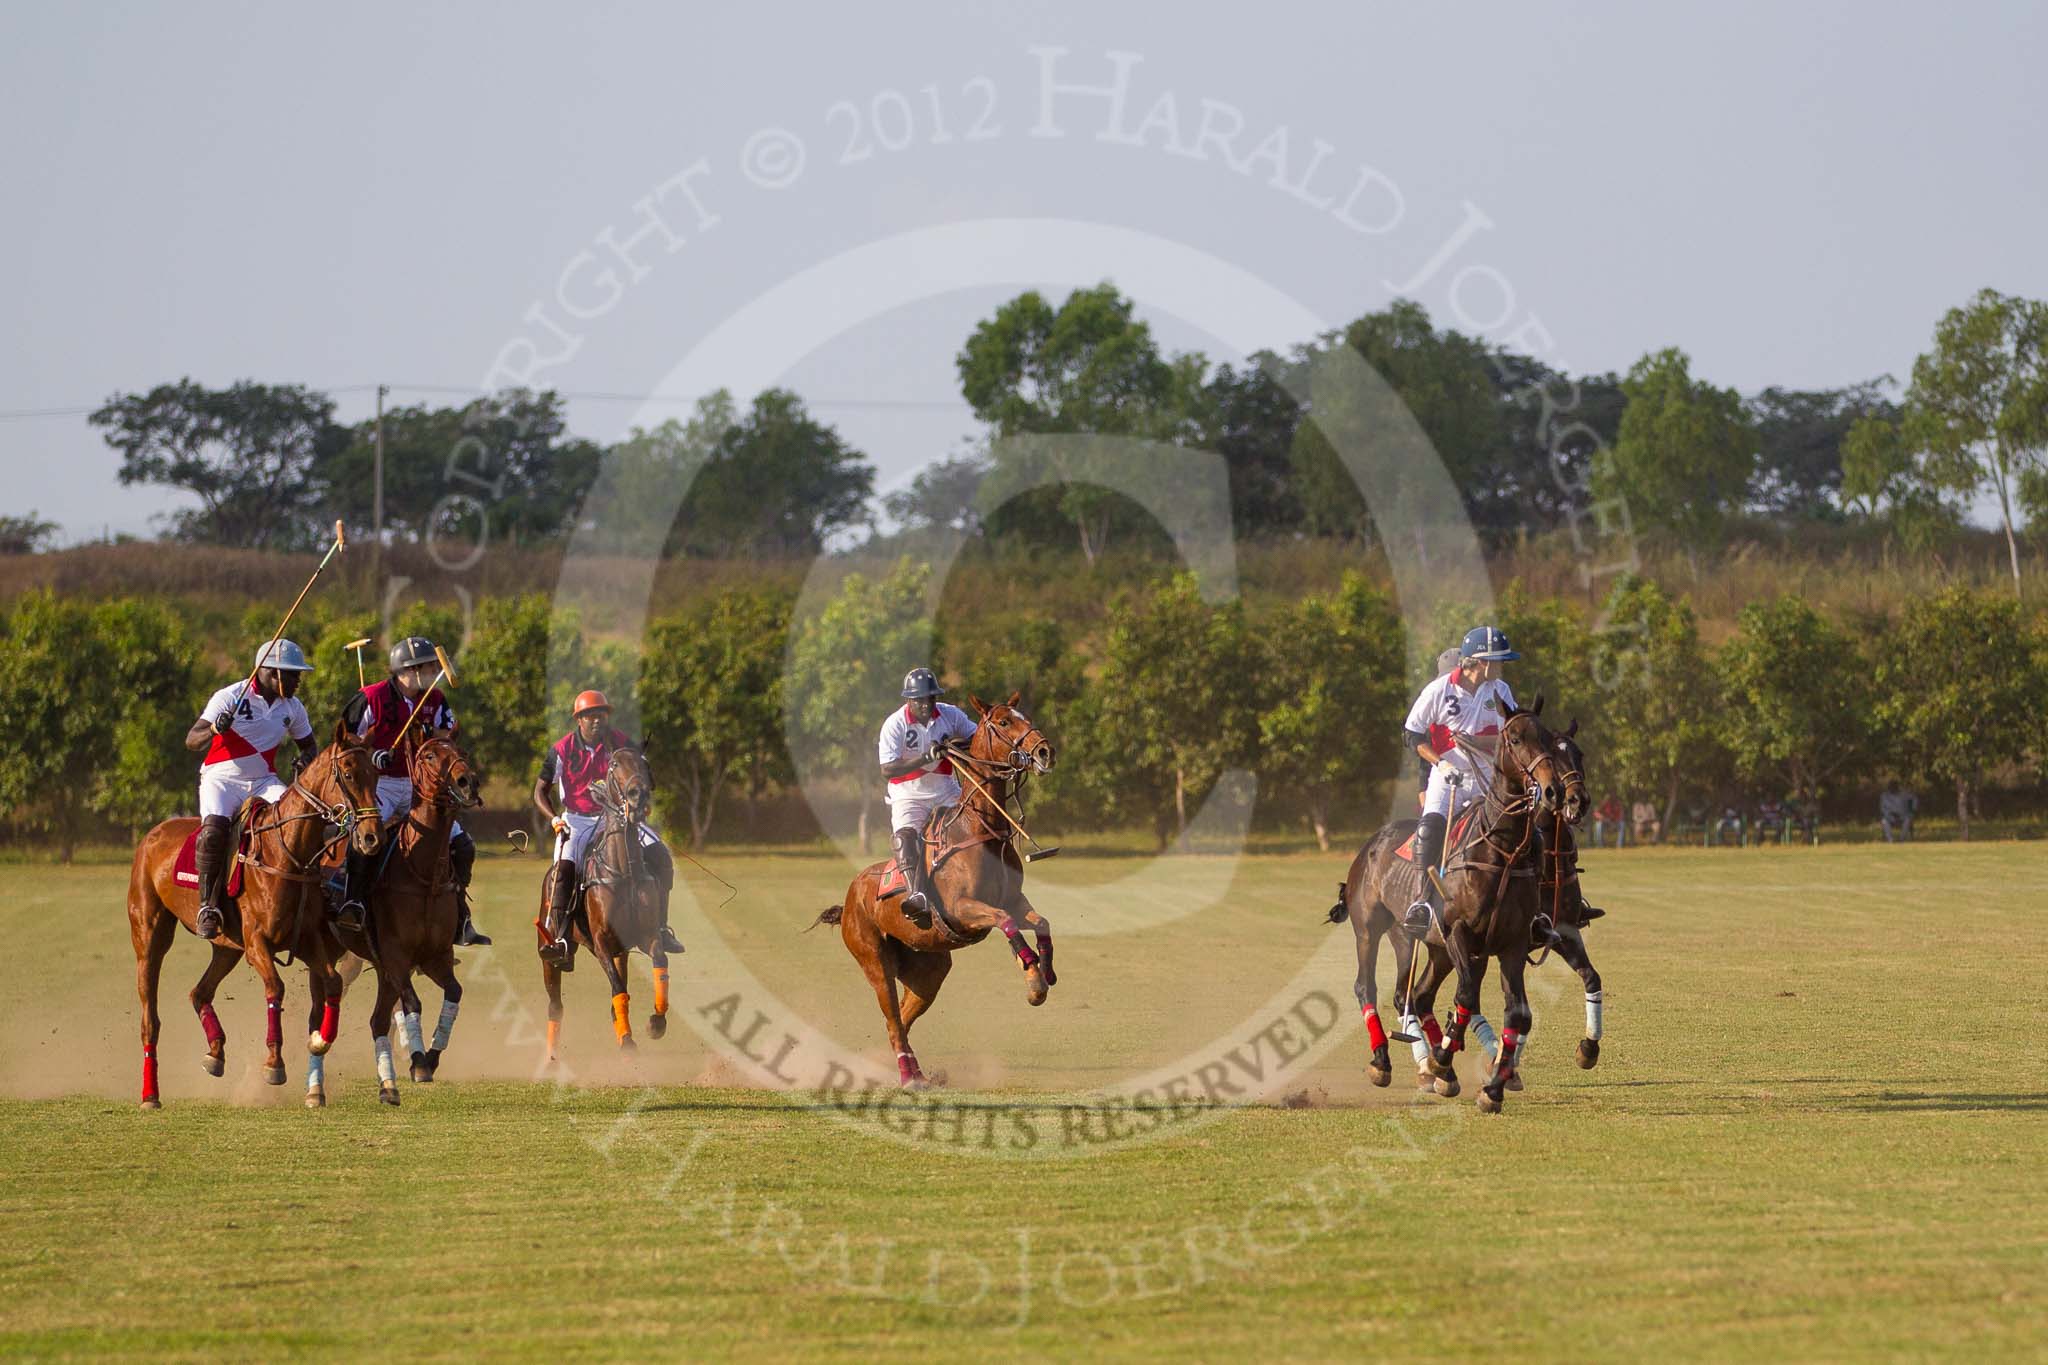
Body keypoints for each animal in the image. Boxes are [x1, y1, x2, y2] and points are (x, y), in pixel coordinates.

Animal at [126, 716, 385, 1113]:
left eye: (375, 772)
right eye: (348, 773)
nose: (372, 837)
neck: (288, 853)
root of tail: (153, 833)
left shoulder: (306, 940)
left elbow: (332, 983)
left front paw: (319, 1040)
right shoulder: (257, 943)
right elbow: (276, 988)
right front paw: (274, 1064)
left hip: (226, 947)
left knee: (198, 992)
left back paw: (215, 1053)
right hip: (150, 937)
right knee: (149, 1018)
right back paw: (150, 1095)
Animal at [331, 732, 483, 1105]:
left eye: (461, 751)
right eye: (429, 755)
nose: (467, 783)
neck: (423, 875)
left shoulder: (434, 956)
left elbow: (454, 992)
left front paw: (430, 1056)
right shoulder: (397, 955)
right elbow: (412, 1001)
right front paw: (419, 1061)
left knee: (377, 1019)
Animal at [536, 749, 679, 1055]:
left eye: (643, 762)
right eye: (614, 765)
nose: (638, 796)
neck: (624, 870)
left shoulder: (646, 935)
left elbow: (659, 964)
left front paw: (656, 1023)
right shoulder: (601, 940)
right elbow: (617, 987)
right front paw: (627, 1040)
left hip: (619, 950)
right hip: (549, 952)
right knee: (555, 1005)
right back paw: (552, 1054)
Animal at [806, 695, 1056, 1088]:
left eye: (1024, 716)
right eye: (1003, 722)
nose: (1045, 751)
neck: (979, 829)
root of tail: (849, 899)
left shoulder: (1015, 900)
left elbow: (1040, 921)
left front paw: (1043, 972)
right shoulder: (963, 908)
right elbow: (1005, 922)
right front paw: (1032, 978)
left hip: (929, 968)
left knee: (900, 1020)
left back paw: (905, 1071)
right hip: (873, 959)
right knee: (893, 1020)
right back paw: (909, 1077)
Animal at [1318, 699, 1556, 1113]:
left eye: (1547, 736)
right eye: (1514, 738)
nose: (1551, 788)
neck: (1502, 851)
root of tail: (1369, 845)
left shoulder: (1511, 945)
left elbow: (1517, 1012)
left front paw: (1490, 1089)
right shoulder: (1459, 932)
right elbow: (1466, 997)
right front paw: (1444, 1060)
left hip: (1426, 945)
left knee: (1416, 994)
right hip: (1370, 930)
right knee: (1367, 986)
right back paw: (1383, 1060)